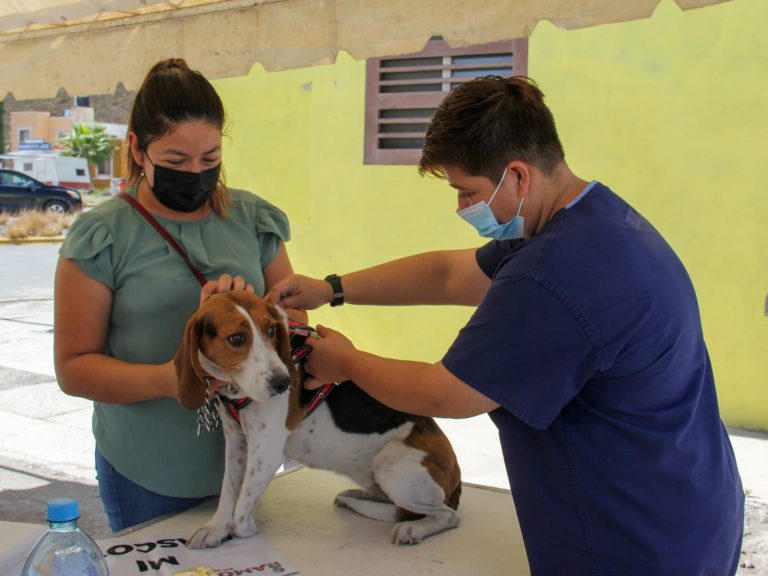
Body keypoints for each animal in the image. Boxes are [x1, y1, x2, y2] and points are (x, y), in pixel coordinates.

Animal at [176, 292, 462, 548]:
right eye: (237, 338)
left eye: (271, 330)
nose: (283, 383)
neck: (236, 388)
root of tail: (457, 477)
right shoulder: (236, 442)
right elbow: (228, 490)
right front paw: (215, 528)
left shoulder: (267, 451)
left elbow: (241, 511)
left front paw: (243, 531)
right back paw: (357, 496)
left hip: (389, 463)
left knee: (447, 515)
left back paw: (415, 527)